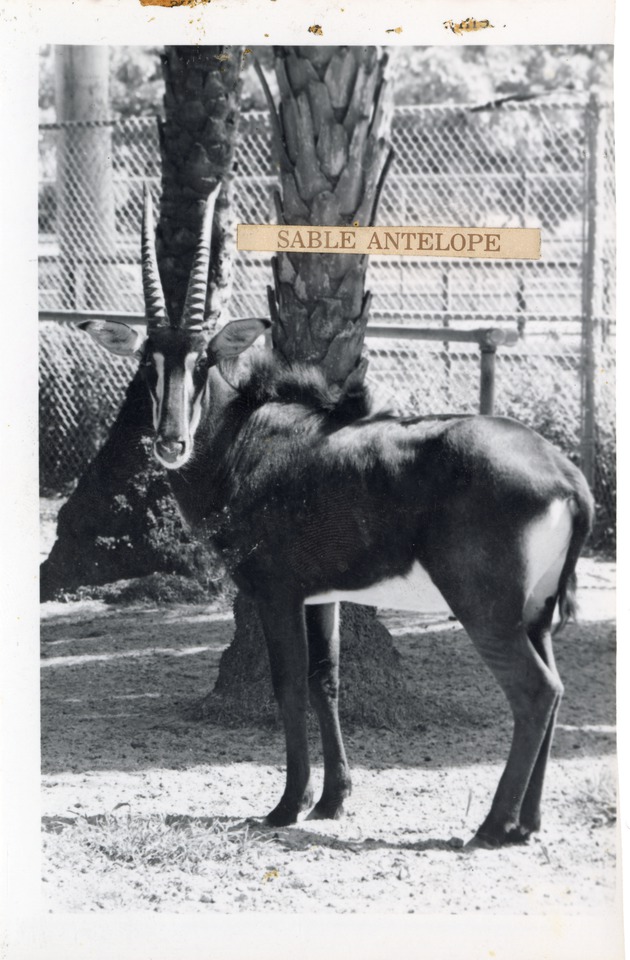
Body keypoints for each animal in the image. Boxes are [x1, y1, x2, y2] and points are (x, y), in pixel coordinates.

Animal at [78, 188, 592, 848]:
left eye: (202, 362)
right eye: (148, 364)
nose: (171, 442)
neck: (244, 438)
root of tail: (565, 475)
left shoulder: (275, 592)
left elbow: (289, 685)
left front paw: (285, 806)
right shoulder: (323, 596)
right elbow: (327, 681)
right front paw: (331, 801)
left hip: (487, 609)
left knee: (535, 691)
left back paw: (492, 825)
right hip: (536, 613)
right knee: (556, 689)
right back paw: (527, 823)